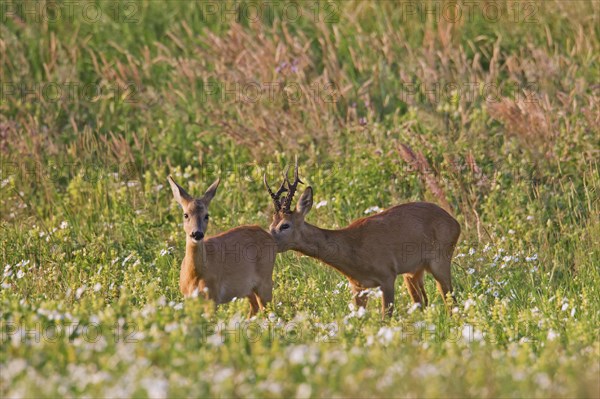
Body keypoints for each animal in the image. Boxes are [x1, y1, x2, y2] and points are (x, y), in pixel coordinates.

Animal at [168, 175, 278, 316]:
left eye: (206, 215)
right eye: (185, 214)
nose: (197, 234)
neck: (195, 275)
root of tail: (269, 235)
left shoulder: (213, 297)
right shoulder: (188, 299)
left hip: (265, 280)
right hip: (247, 288)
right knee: (255, 307)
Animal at [264, 161, 462, 318]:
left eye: (285, 225)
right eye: (270, 224)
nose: (268, 241)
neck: (351, 249)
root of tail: (455, 223)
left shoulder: (387, 275)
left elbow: (386, 317)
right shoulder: (358, 287)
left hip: (440, 260)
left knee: (450, 300)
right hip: (413, 272)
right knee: (423, 302)